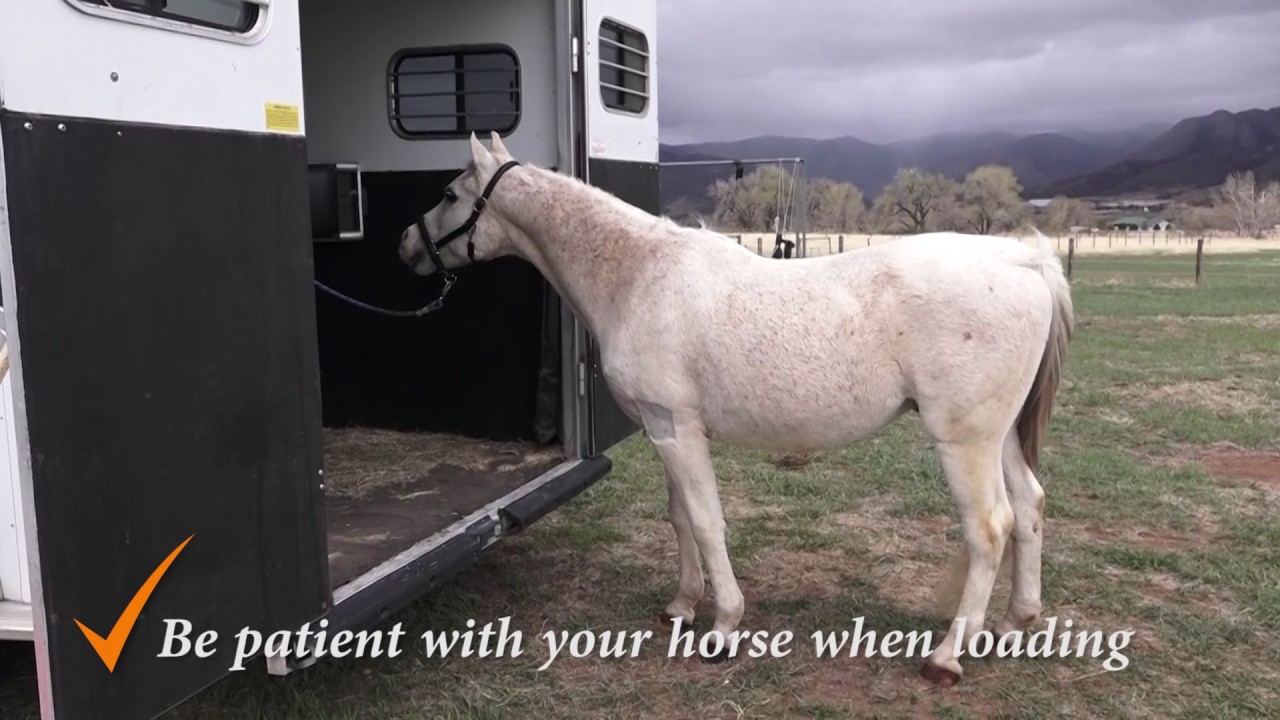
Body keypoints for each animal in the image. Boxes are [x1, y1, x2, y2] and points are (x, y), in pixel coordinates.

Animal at [398, 132, 1073, 686]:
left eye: (450, 193)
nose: (407, 245)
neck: (636, 274)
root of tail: (1025, 261)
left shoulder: (677, 429)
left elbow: (705, 520)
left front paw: (722, 625)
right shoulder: (665, 429)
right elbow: (679, 518)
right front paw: (681, 606)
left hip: (965, 440)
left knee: (991, 527)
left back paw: (946, 657)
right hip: (1000, 435)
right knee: (1030, 507)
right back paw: (1014, 622)